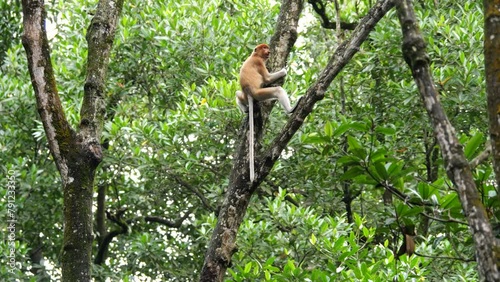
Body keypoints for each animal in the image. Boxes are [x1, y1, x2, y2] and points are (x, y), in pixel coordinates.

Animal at [235, 43, 300, 182]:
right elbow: (268, 78)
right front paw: (284, 70)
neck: (254, 55)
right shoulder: (259, 63)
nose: (268, 51)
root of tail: (249, 92)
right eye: (264, 48)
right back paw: (290, 109)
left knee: (237, 93)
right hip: (259, 93)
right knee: (277, 90)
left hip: (245, 95)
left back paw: (246, 110)